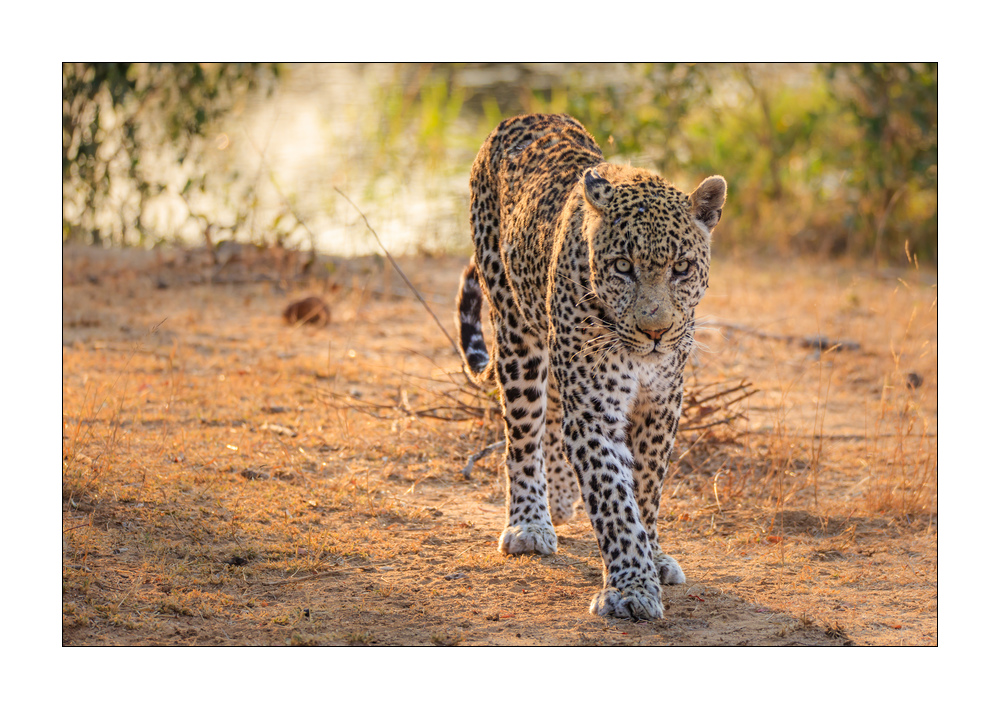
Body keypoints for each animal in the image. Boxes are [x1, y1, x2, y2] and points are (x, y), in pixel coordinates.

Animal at [455, 113, 727, 620]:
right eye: (622, 266)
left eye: (681, 268)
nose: (656, 332)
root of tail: (523, 117)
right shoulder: (595, 411)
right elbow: (614, 500)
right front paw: (631, 588)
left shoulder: (662, 405)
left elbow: (645, 491)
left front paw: (652, 556)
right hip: (516, 333)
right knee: (523, 434)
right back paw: (530, 523)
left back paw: (560, 499)